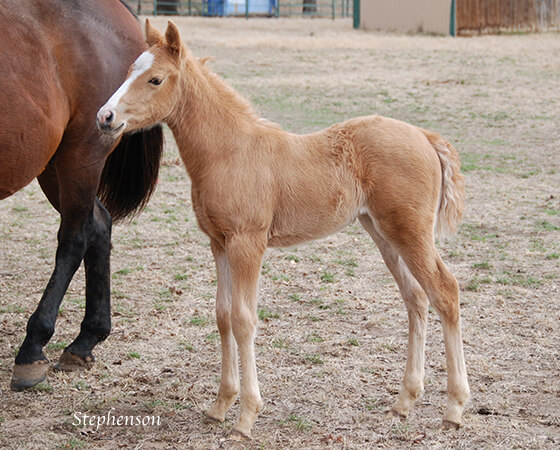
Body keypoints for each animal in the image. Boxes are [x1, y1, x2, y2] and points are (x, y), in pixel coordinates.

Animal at [2, 0, 163, 390]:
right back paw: (86, 338)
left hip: (81, 156)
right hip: (52, 165)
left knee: (75, 237)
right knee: (99, 224)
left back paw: (33, 347)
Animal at [98, 20, 470, 436]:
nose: (105, 116)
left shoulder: (248, 243)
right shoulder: (219, 243)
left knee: (445, 292)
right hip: (384, 233)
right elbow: (222, 316)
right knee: (416, 298)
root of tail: (425, 136)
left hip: (410, 233)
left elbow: (244, 320)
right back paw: (404, 401)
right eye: (130, 69)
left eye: (156, 79)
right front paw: (220, 405)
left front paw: (246, 416)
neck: (229, 152)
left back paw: (454, 408)